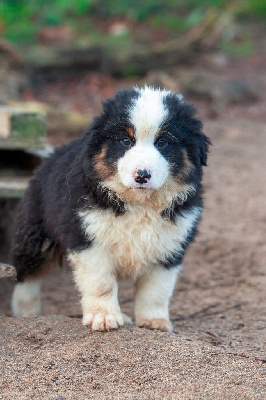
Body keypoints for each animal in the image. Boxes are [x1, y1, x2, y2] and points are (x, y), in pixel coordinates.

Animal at [10, 86, 210, 332]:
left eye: (163, 142)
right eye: (125, 140)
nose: (142, 175)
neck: (139, 204)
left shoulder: (170, 244)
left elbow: (157, 289)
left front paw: (154, 322)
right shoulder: (88, 238)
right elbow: (101, 283)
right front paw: (103, 317)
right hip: (36, 233)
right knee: (26, 275)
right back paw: (26, 314)